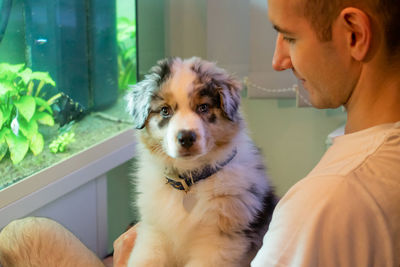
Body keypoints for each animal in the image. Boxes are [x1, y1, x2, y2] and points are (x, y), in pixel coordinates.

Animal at [125, 57, 276, 267]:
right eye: (165, 111)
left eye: (203, 107)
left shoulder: (218, 243)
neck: (190, 180)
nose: (186, 137)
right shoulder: (155, 232)